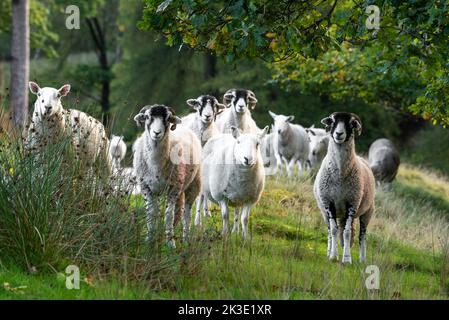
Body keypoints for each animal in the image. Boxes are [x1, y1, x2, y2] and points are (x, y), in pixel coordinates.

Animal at [132, 104, 200, 248]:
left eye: (168, 118)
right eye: (147, 117)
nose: (157, 133)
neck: (156, 163)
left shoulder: (173, 188)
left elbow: (168, 215)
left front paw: (170, 243)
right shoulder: (146, 187)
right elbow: (151, 213)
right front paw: (149, 240)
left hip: (193, 185)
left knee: (186, 213)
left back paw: (186, 240)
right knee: (175, 211)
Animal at [180, 94, 226, 226]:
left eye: (215, 105)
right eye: (199, 104)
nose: (207, 116)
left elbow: (202, 194)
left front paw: (198, 219)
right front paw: (196, 220)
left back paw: (206, 212)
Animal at [312, 111, 374, 264]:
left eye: (351, 123)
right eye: (332, 121)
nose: (339, 134)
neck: (340, 174)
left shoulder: (352, 203)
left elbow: (347, 233)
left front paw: (346, 259)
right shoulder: (329, 203)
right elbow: (334, 231)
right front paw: (333, 256)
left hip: (367, 211)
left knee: (362, 235)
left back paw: (362, 259)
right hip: (326, 212)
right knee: (330, 231)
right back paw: (329, 251)